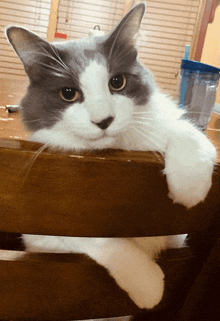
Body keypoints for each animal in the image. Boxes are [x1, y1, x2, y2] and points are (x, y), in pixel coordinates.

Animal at [5, 3, 217, 308]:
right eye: (68, 93)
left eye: (117, 82)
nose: (103, 120)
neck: (116, 152)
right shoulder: (42, 231)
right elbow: (100, 240)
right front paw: (148, 285)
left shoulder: (179, 236)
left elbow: (188, 134)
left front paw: (189, 187)